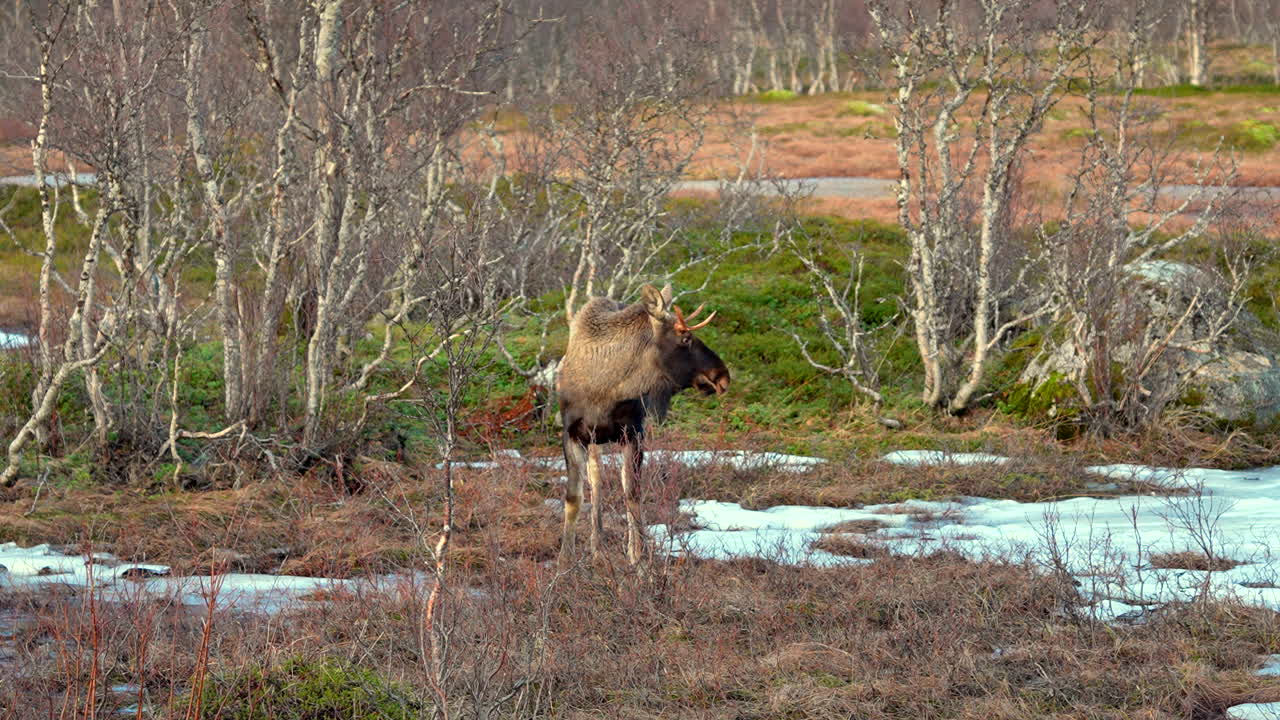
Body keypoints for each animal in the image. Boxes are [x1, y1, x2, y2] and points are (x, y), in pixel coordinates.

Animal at [556, 283, 730, 566]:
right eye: (685, 338)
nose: (723, 375)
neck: (605, 390)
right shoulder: (572, 434)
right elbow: (575, 497)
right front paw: (564, 561)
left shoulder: (634, 434)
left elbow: (632, 495)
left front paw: (638, 559)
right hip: (594, 442)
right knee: (596, 481)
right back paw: (596, 548)